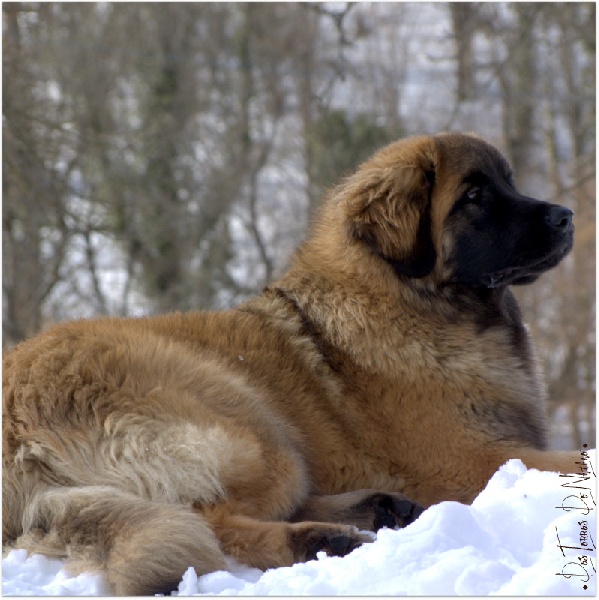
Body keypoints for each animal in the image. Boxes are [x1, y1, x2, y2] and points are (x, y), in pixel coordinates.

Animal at [2, 132, 584, 596]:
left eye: (509, 182)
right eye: (474, 196)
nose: (566, 216)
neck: (407, 297)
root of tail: (16, 421)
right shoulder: (469, 460)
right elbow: (573, 461)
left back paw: (376, 510)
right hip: (253, 428)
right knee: (207, 517)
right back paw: (323, 540)